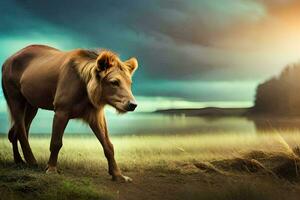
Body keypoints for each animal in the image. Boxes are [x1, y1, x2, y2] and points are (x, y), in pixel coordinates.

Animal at [1, 44, 138, 182]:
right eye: (114, 82)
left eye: (129, 83)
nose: (133, 104)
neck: (86, 89)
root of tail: (7, 60)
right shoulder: (61, 110)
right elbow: (56, 142)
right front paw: (51, 169)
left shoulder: (95, 114)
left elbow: (108, 145)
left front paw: (118, 175)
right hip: (15, 97)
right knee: (21, 130)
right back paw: (31, 161)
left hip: (31, 105)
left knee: (15, 131)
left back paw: (19, 160)